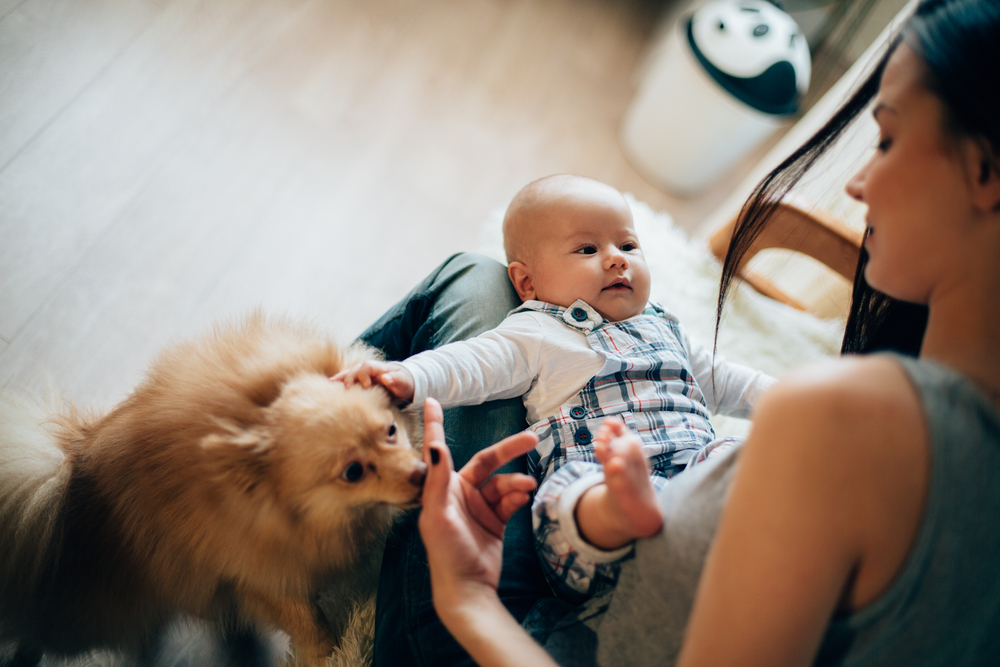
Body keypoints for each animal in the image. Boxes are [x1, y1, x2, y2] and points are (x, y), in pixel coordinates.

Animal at [0, 314, 424, 667]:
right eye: (352, 472)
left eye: (390, 431)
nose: (422, 473)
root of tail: (70, 468)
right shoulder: (256, 574)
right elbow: (308, 621)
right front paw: (328, 653)